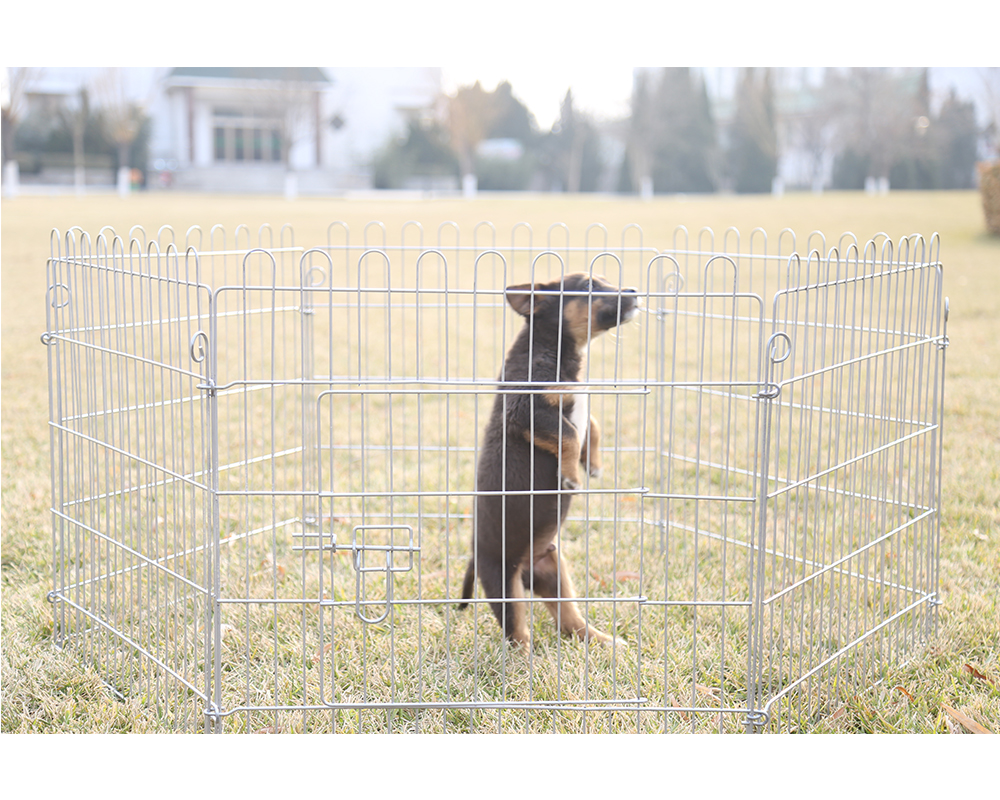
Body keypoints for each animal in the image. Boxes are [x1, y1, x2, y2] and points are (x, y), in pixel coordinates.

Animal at [460, 272, 640, 648]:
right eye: (588, 287)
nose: (633, 292)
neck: (553, 350)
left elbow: (590, 424)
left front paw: (594, 463)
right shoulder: (528, 411)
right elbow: (568, 433)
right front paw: (572, 475)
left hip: (555, 570)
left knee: (569, 622)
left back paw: (604, 642)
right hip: (504, 585)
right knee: (517, 632)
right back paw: (526, 658)